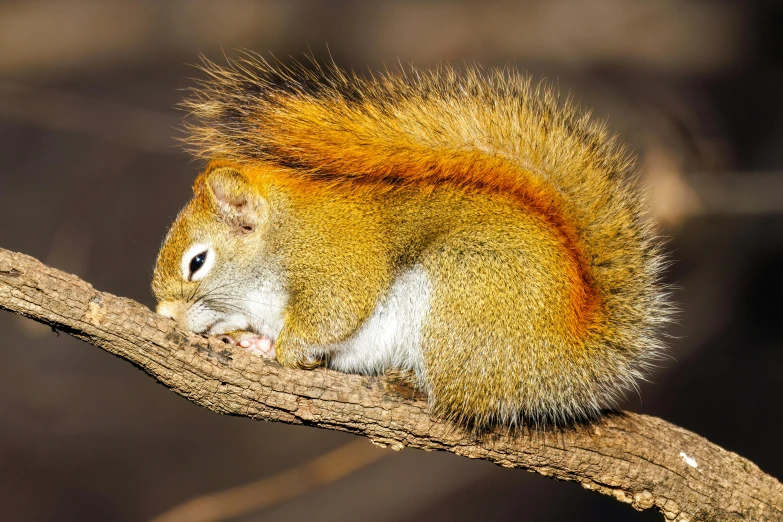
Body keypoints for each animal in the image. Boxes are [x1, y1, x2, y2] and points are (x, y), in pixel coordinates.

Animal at [153, 55, 672, 426]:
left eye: (197, 262)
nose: (167, 316)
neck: (280, 236)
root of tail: (574, 357)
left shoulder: (336, 259)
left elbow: (333, 311)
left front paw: (287, 349)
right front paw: (250, 342)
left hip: (464, 294)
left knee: (465, 397)